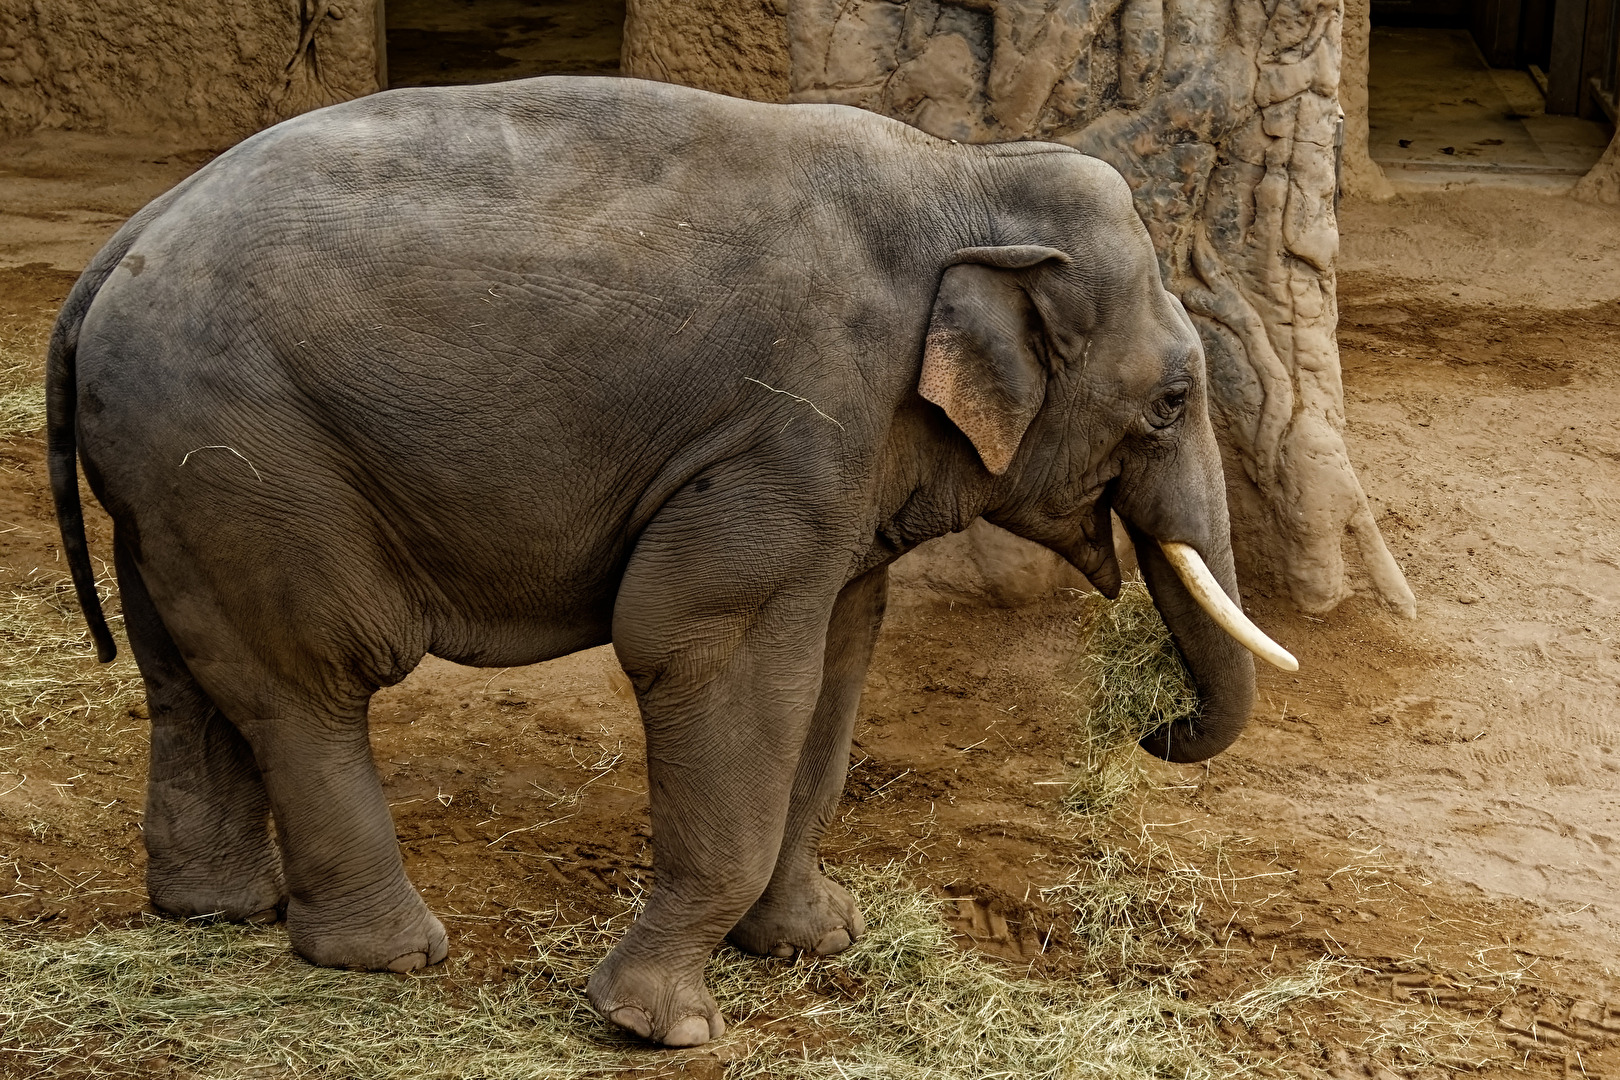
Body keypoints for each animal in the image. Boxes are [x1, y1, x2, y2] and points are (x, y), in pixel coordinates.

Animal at [48, 75, 1293, 1047]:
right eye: (1170, 401)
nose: (1153, 727)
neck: (963, 172)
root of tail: (113, 247)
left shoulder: (847, 461)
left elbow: (837, 662)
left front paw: (815, 941)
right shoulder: (791, 426)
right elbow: (700, 646)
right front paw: (661, 1024)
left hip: (170, 479)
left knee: (189, 675)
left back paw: (217, 912)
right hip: (246, 453)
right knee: (310, 681)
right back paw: (388, 956)